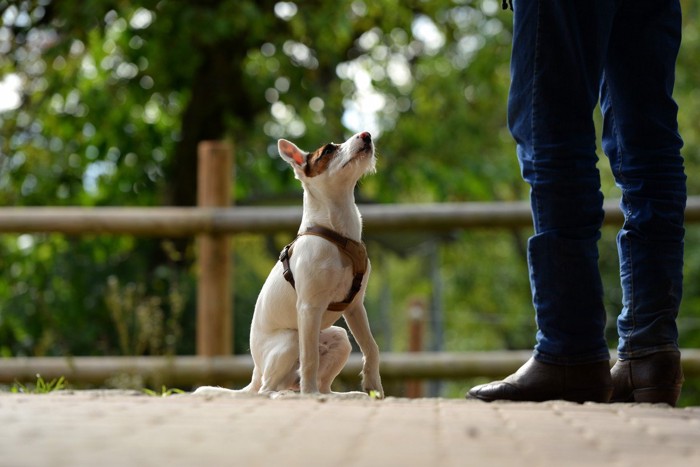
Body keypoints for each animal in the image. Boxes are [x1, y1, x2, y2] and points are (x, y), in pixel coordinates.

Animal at [194, 132, 382, 398]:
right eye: (328, 151)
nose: (366, 135)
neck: (337, 234)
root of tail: (257, 370)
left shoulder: (355, 307)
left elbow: (371, 347)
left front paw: (374, 385)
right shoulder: (308, 308)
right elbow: (310, 357)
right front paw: (308, 394)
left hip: (340, 337)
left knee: (323, 385)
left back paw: (340, 395)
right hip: (291, 340)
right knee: (267, 389)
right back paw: (291, 394)